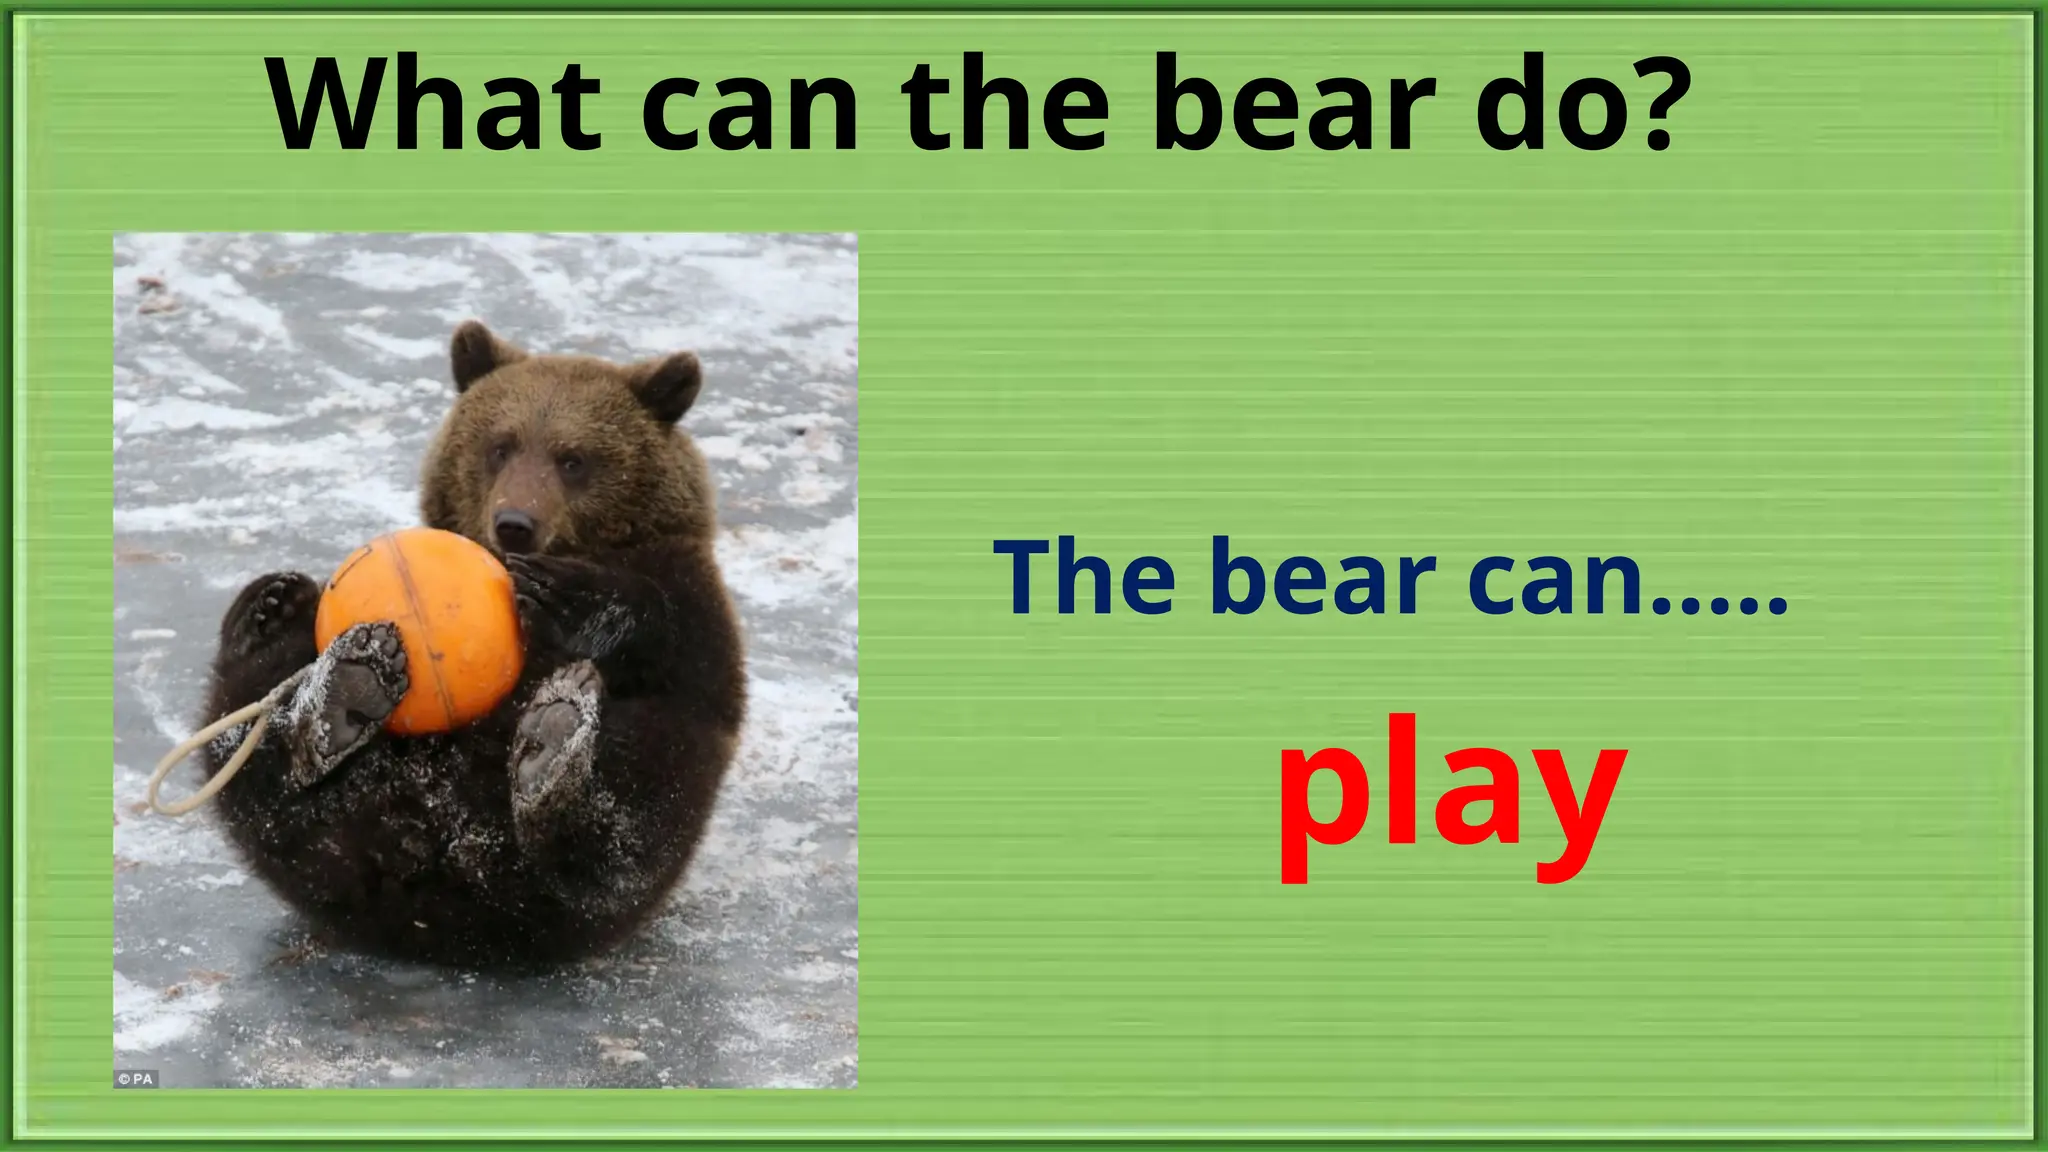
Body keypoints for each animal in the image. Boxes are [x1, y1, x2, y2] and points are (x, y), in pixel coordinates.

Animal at [195, 320, 747, 969]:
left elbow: (679, 643)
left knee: (625, 820)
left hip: (639, 793)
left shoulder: (690, 594)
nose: (515, 522)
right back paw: (319, 665)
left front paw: (568, 596)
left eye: (574, 459)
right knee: (248, 737)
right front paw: (283, 601)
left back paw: (550, 749)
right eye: (500, 446)